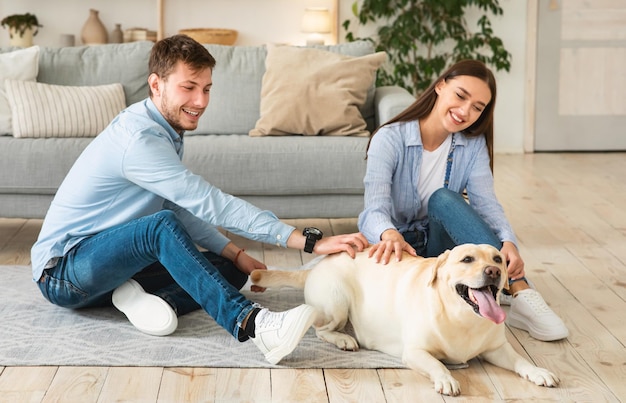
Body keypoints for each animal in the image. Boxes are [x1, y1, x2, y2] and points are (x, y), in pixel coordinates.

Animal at [251, 245, 560, 396]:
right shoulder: (414, 352)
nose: (493, 272)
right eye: (467, 259)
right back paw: (344, 339)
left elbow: (521, 360)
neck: (462, 316)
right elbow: (436, 364)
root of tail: (315, 267)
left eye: (498, 258)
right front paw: (446, 379)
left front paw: (538, 371)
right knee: (320, 329)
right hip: (337, 302)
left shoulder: (498, 349)